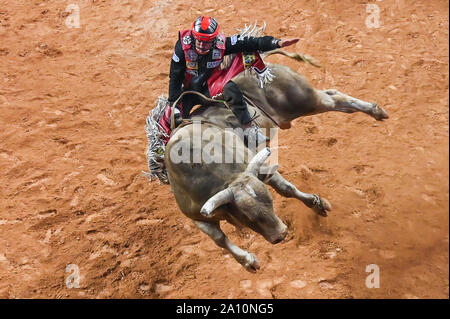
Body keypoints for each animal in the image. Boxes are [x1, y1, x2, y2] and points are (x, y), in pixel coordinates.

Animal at [146, 27, 388, 274]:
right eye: (248, 217)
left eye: (270, 202)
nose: (281, 234)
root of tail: (262, 67)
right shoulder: (199, 217)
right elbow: (220, 239)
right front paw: (248, 261)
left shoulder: (260, 169)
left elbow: (286, 189)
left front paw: (318, 204)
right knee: (334, 96)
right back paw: (374, 111)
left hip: (305, 100)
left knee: (334, 98)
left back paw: (375, 110)